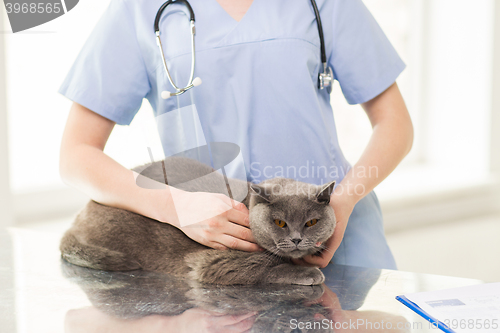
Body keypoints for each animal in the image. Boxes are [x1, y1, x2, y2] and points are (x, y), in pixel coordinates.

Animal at [61, 157, 336, 284]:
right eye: (280, 223)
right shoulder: (216, 261)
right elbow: (268, 268)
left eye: (311, 223)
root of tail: (78, 218)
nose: (297, 239)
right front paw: (309, 272)